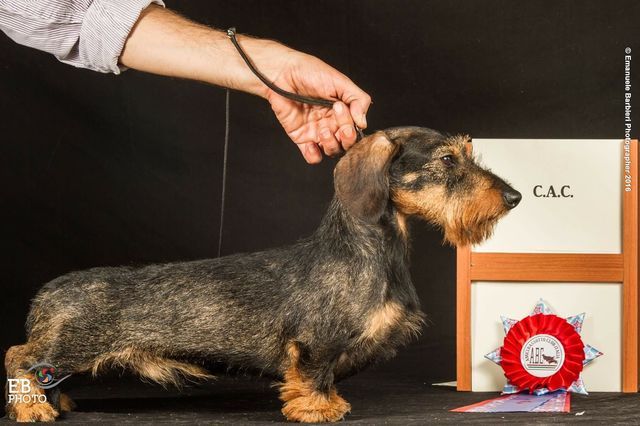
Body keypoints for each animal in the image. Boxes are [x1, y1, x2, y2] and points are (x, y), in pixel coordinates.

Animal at [5, 127, 521, 422]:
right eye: (448, 160)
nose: (514, 197)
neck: (367, 251)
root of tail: (48, 293)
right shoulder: (317, 342)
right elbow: (314, 376)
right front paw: (317, 409)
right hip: (71, 348)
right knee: (20, 358)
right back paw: (31, 407)